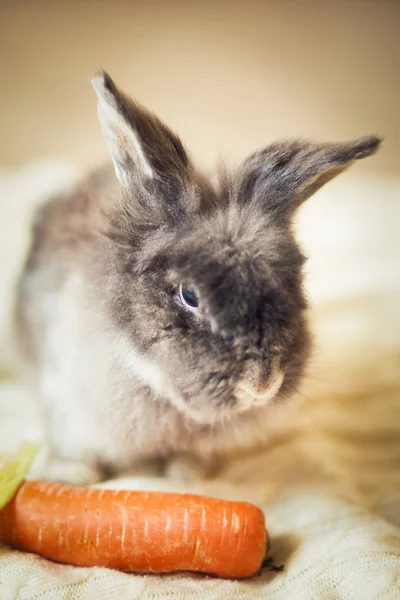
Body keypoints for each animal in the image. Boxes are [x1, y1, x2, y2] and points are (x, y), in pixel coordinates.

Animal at [13, 70, 382, 486]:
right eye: (189, 295)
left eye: (293, 284)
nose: (261, 384)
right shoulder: (65, 399)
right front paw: (73, 475)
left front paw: (187, 476)